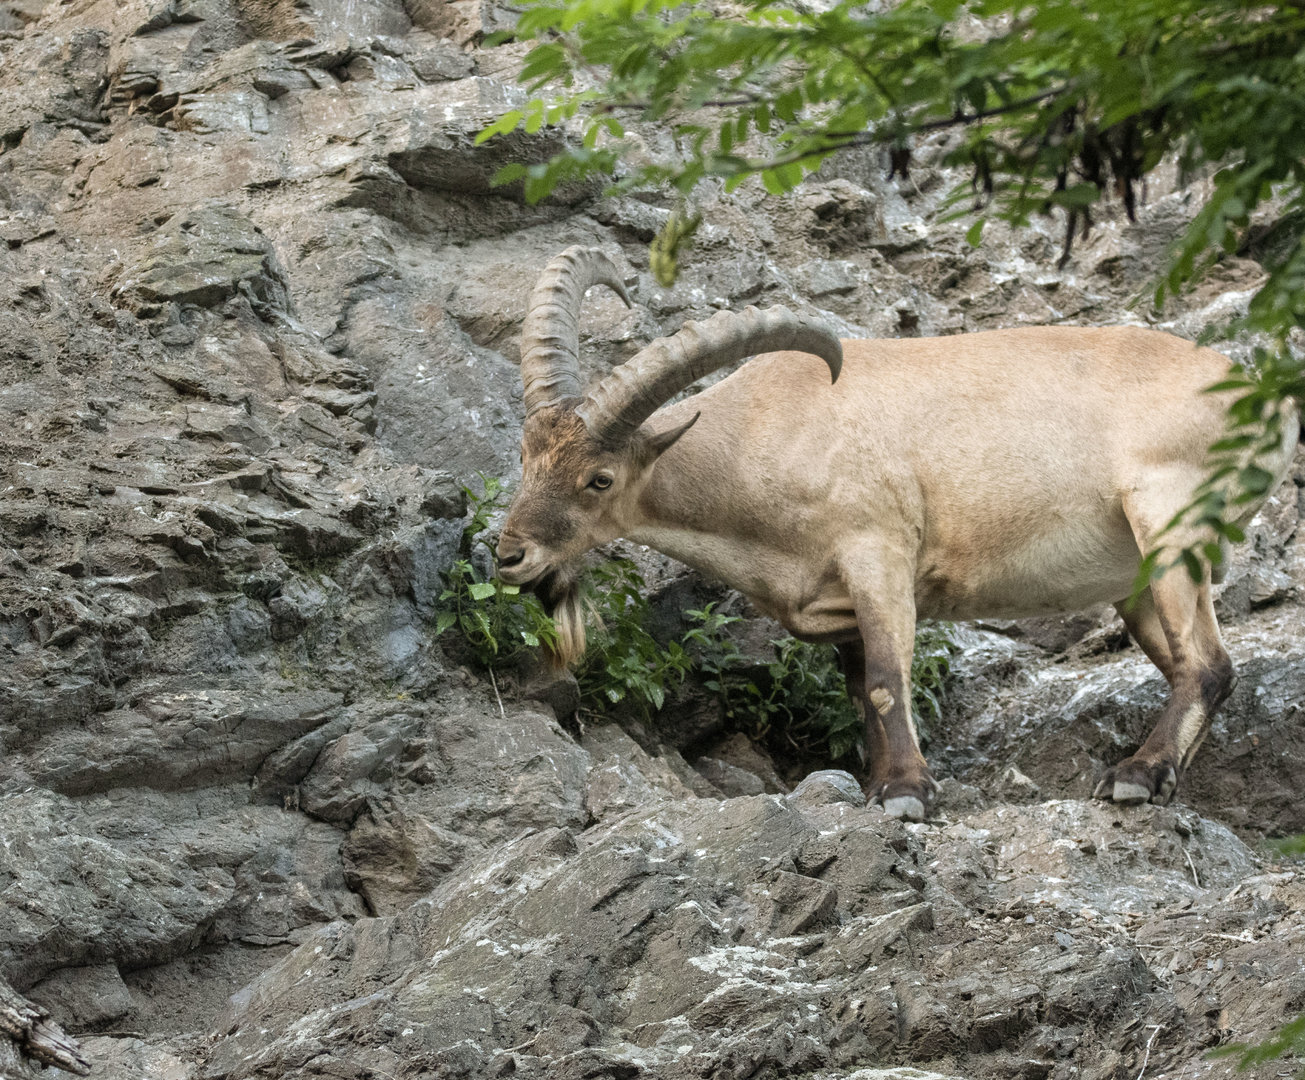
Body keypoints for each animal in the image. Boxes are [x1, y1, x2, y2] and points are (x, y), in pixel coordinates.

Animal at [495, 246, 1299, 820]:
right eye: (526, 455)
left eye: (599, 479)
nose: (509, 554)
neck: (770, 433)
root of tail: (1264, 397)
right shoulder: (838, 600)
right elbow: (860, 694)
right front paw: (880, 784)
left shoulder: (876, 552)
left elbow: (887, 680)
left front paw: (910, 794)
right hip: (1138, 577)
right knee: (1196, 665)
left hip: (1168, 516)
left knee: (1208, 663)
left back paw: (1136, 777)